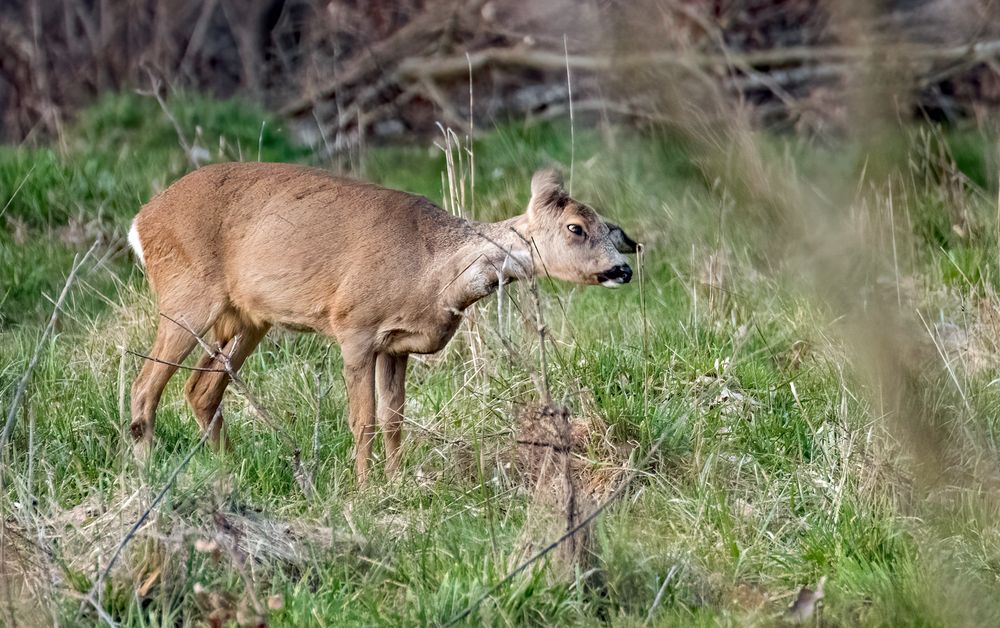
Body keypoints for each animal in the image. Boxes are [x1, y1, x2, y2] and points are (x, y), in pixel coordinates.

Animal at [129, 163, 636, 486]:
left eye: (609, 227)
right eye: (575, 227)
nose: (623, 269)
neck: (433, 273)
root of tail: (139, 221)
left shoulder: (397, 346)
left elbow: (395, 419)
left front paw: (396, 483)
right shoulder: (354, 327)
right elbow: (363, 420)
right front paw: (364, 490)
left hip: (248, 318)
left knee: (201, 388)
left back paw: (229, 471)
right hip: (186, 294)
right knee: (145, 384)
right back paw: (147, 473)